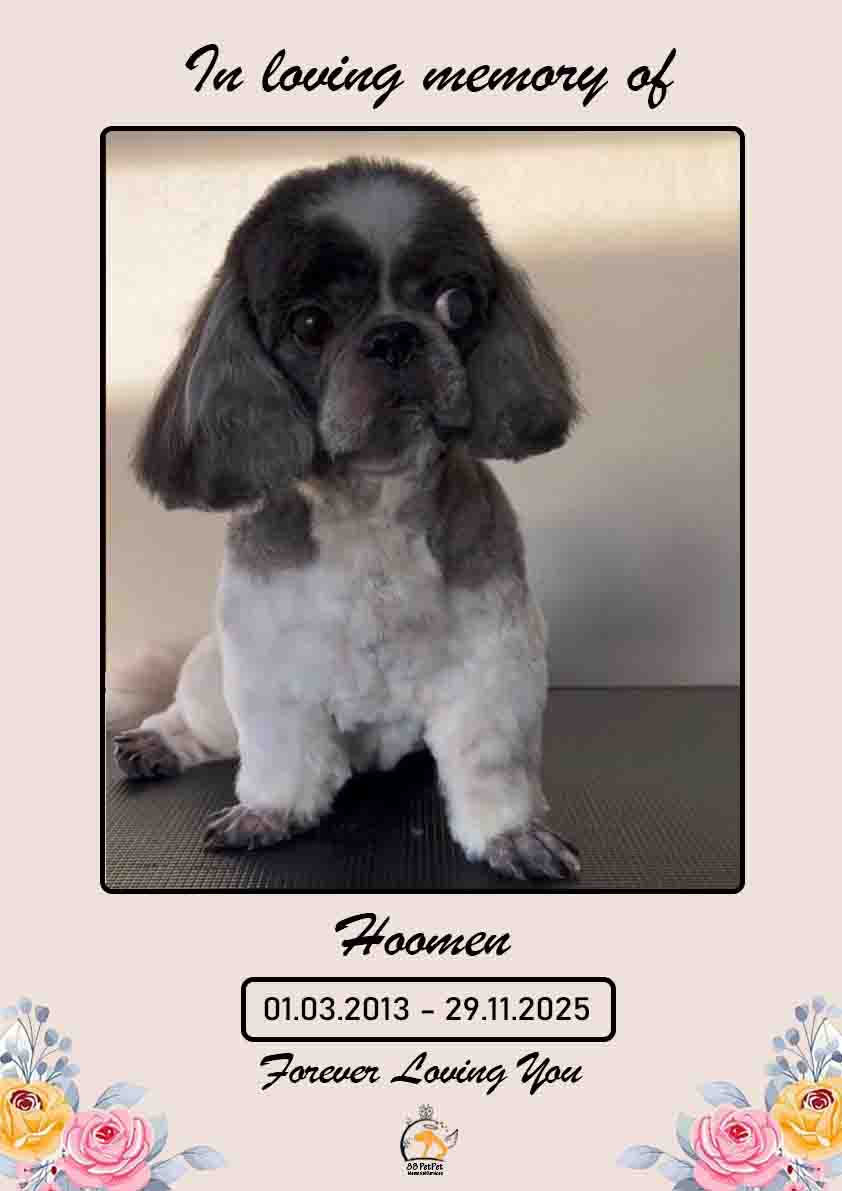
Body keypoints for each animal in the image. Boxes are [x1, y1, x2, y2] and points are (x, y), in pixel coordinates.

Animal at [112, 157, 581, 881]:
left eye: (456, 302)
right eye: (309, 324)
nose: (394, 337)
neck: (373, 503)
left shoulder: (494, 659)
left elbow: (490, 761)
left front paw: (512, 834)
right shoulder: (270, 661)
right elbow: (282, 755)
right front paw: (269, 813)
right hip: (213, 685)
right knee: (190, 721)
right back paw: (155, 744)